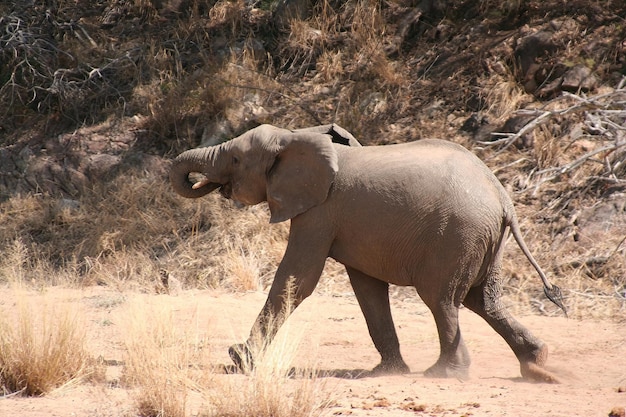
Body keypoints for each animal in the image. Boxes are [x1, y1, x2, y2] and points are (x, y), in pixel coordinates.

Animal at [169, 122, 564, 380]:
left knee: (442, 299)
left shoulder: (320, 210)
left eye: (236, 159)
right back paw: (537, 362)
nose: (209, 183)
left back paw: (445, 373)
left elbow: (298, 277)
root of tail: (503, 198)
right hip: (484, 240)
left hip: (458, 236)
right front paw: (388, 371)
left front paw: (239, 360)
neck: (295, 136)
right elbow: (368, 288)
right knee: (483, 300)